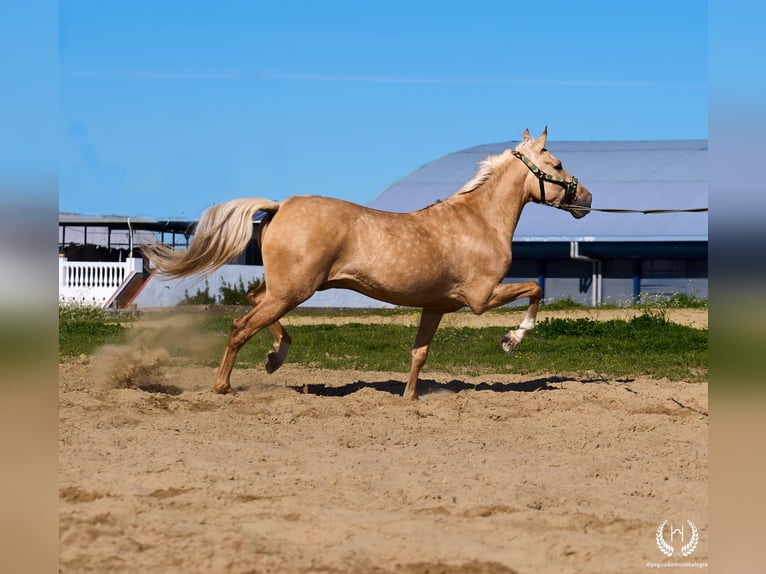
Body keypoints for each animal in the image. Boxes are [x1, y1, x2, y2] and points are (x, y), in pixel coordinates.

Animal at [144, 128, 592, 399]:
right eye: (556, 165)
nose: (586, 199)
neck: (479, 220)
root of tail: (280, 205)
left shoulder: (436, 306)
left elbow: (419, 354)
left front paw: (410, 398)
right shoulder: (481, 298)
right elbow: (536, 289)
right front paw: (511, 340)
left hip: (286, 288)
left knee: (254, 302)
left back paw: (275, 357)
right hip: (294, 290)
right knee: (240, 327)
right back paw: (225, 386)